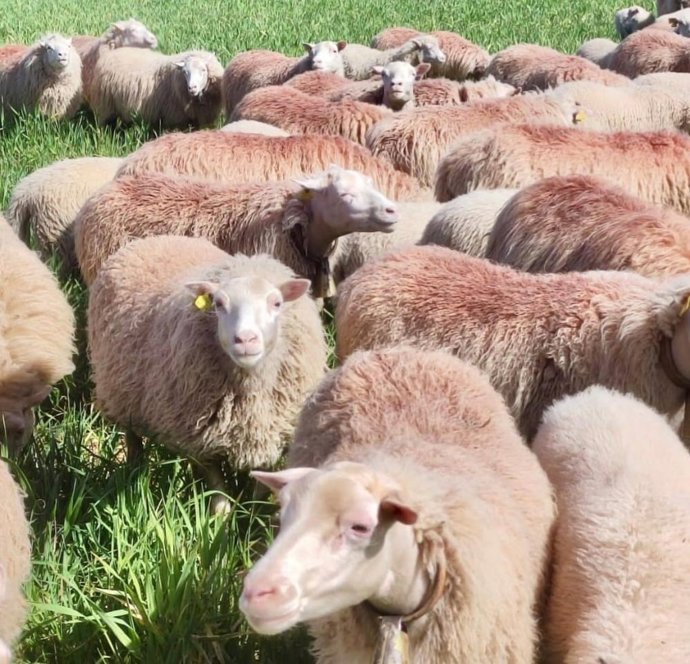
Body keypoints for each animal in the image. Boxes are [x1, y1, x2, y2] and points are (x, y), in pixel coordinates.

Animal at [88, 235, 327, 513]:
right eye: (219, 304)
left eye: (276, 303)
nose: (245, 339)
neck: (251, 392)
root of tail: (156, 238)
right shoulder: (198, 435)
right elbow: (217, 490)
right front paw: (219, 520)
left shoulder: (270, 430)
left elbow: (260, 487)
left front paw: (252, 515)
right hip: (120, 393)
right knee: (132, 437)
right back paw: (134, 469)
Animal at [89, 49, 223, 128]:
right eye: (185, 72)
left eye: (203, 70)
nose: (192, 88)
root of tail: (109, 54)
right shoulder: (175, 119)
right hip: (104, 107)